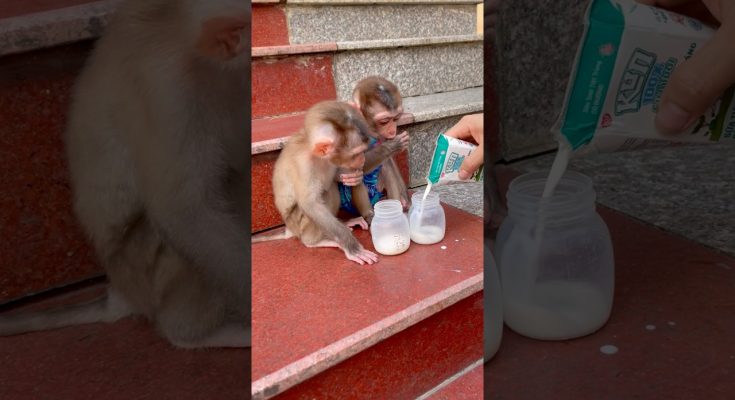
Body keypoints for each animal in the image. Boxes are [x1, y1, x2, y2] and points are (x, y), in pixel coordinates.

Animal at [259, 100, 379, 266]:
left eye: (363, 150)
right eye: (356, 153)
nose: (362, 159)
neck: (314, 152)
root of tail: (289, 229)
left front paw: (351, 177)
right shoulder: (303, 165)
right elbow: (311, 204)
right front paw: (352, 247)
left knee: (330, 188)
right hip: (299, 225)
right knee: (322, 195)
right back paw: (314, 242)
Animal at [337, 76, 411, 224]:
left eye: (396, 118)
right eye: (384, 121)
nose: (392, 130)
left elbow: (389, 160)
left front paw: (405, 199)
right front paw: (394, 145)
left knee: (386, 166)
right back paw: (368, 215)